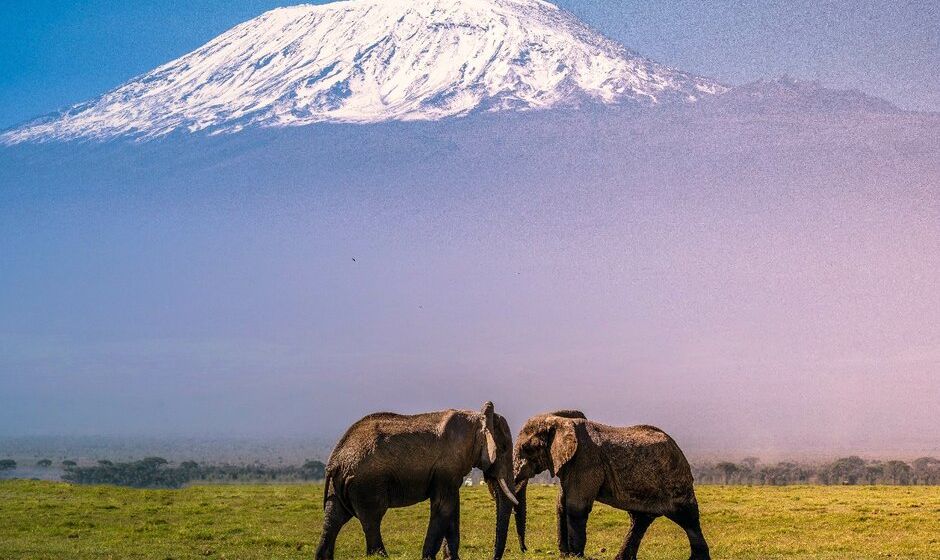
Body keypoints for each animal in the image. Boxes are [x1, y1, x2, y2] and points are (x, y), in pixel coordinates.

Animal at [318, 400, 520, 556]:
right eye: (503, 448)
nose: (494, 556)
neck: (477, 419)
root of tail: (335, 461)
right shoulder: (446, 467)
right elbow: (444, 506)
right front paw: (428, 557)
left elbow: (452, 508)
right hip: (366, 483)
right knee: (371, 520)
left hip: (340, 485)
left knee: (334, 518)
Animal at [510, 410, 708, 560]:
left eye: (527, 449)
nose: (524, 549)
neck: (560, 422)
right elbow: (561, 505)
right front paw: (565, 555)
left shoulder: (586, 460)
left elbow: (575, 507)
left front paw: (575, 556)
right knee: (640, 519)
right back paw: (621, 559)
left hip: (675, 480)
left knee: (688, 518)